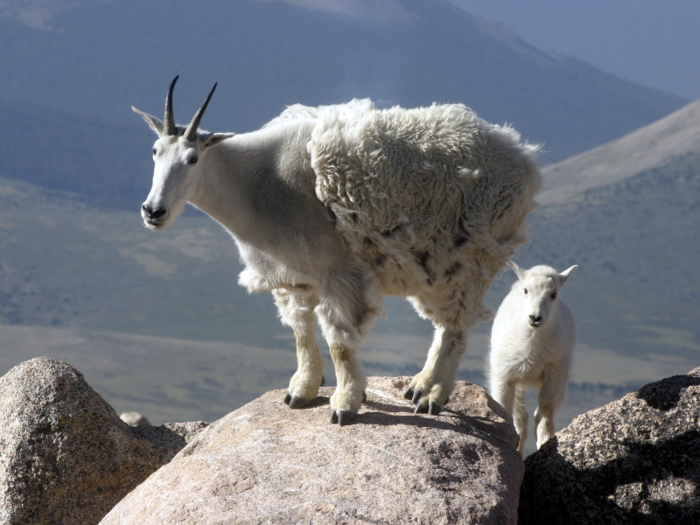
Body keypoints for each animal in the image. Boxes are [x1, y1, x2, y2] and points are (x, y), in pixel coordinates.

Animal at [134, 75, 544, 424]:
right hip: (434, 265)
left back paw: (433, 396)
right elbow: (301, 331)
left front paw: (345, 404)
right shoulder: (295, 276)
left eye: (192, 159)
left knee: (455, 328)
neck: (258, 186)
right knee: (443, 325)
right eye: (154, 150)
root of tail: (525, 159)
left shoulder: (339, 273)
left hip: (473, 255)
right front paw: (301, 391)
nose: (154, 211)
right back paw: (419, 386)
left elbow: (338, 341)